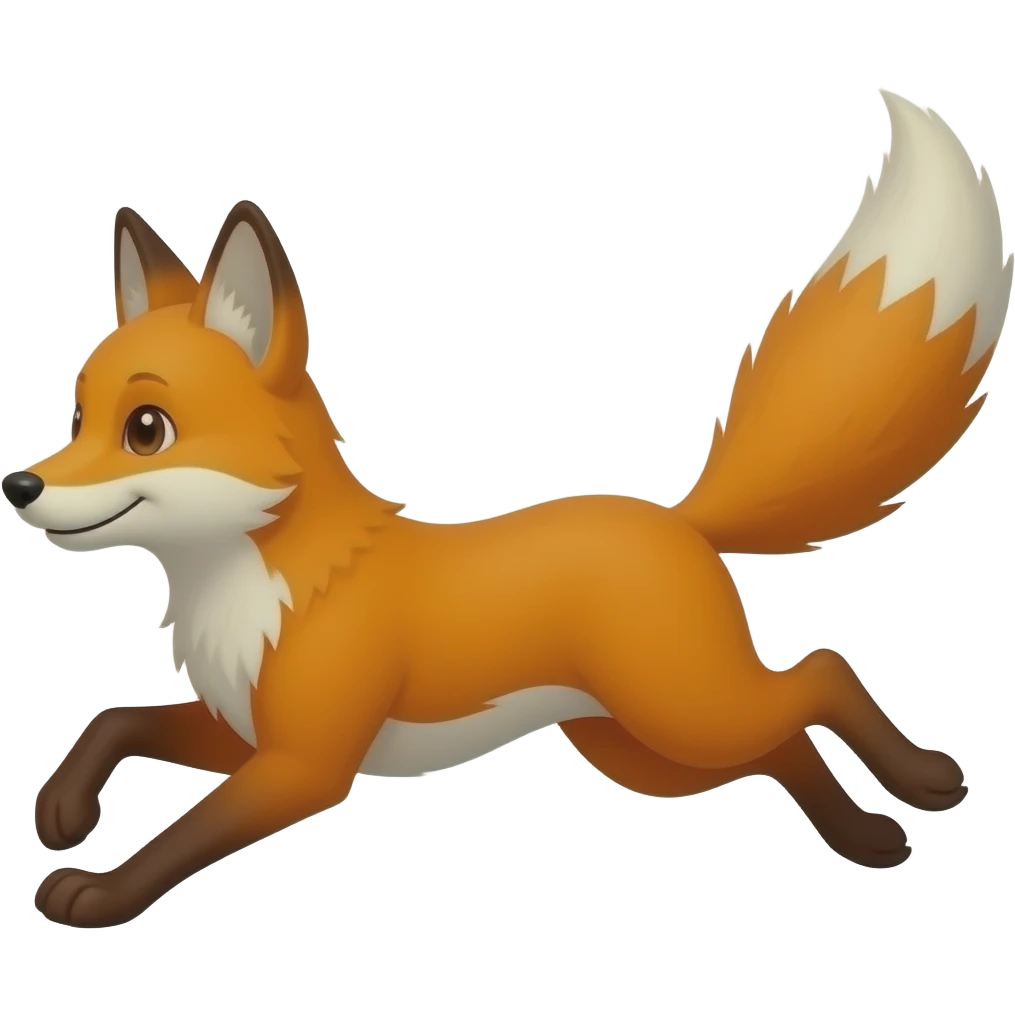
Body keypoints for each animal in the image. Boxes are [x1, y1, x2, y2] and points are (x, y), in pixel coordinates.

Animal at [9, 89, 1011, 929]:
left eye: (145, 428)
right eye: (76, 417)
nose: (19, 486)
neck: (262, 581)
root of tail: (678, 518)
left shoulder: (303, 766)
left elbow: (181, 835)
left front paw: (98, 891)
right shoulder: (241, 730)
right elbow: (114, 719)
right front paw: (62, 808)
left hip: (685, 712)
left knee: (822, 672)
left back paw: (920, 780)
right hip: (646, 750)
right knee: (784, 738)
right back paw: (866, 836)